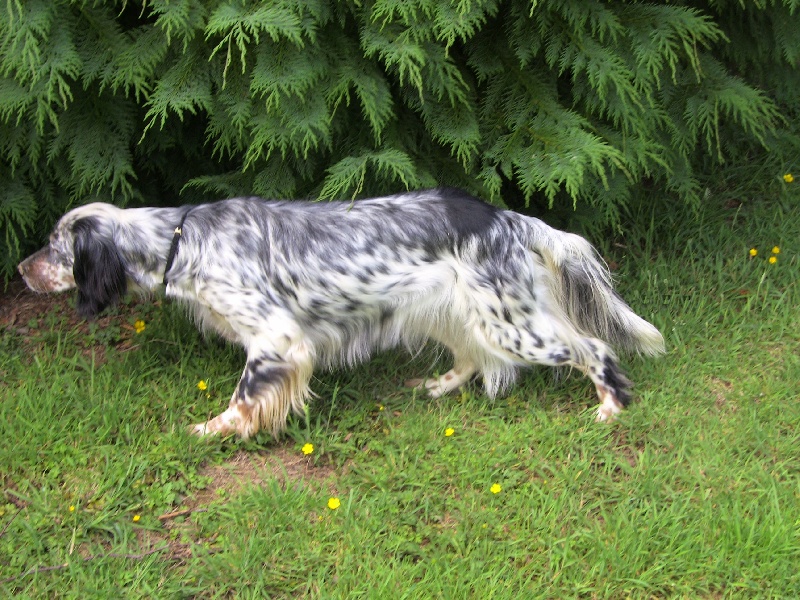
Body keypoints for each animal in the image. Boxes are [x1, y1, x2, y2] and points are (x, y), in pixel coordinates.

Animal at [20, 188, 664, 436]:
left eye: (54, 247)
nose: (22, 271)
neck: (182, 239)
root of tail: (511, 218)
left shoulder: (277, 338)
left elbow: (244, 397)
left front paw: (215, 429)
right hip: (463, 312)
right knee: (470, 357)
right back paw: (437, 386)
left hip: (515, 325)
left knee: (594, 348)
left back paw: (611, 408)